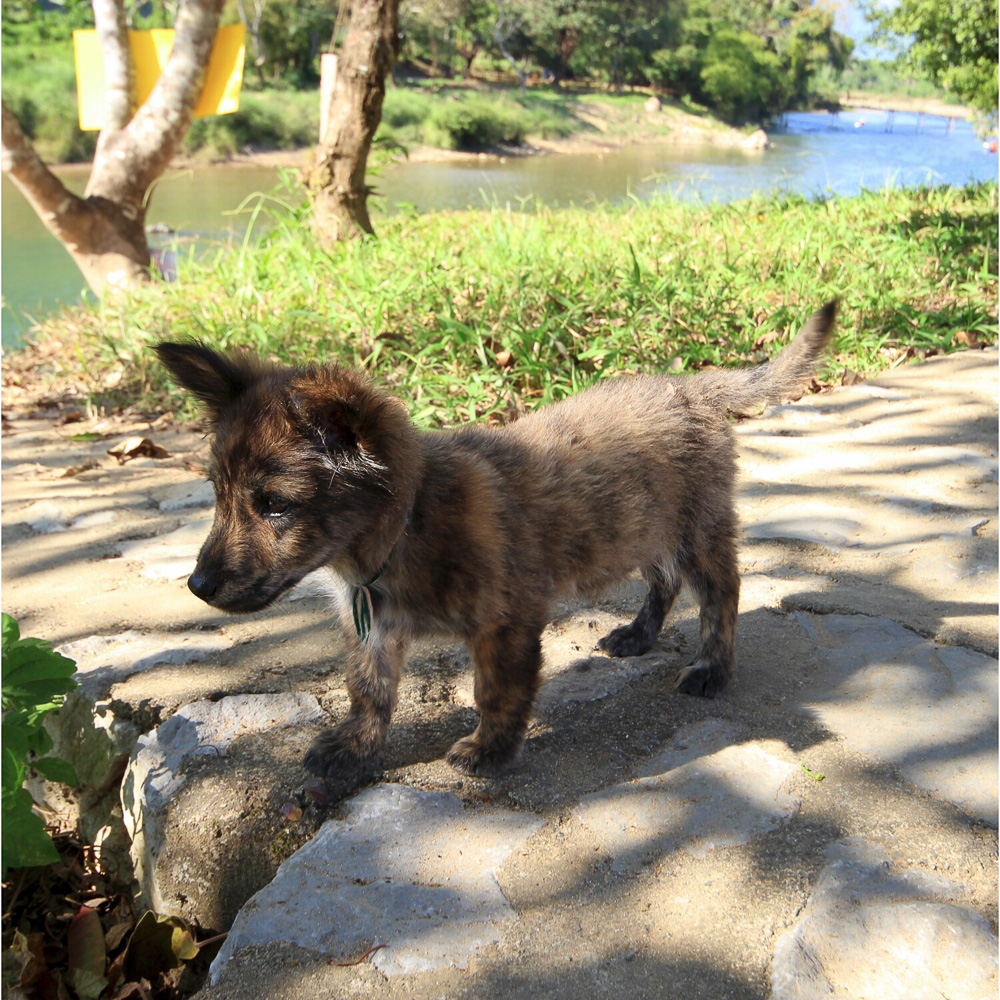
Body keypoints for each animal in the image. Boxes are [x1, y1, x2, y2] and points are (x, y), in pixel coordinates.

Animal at [156, 301, 836, 777]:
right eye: (217, 494)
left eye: (274, 505)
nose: (197, 585)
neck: (405, 527)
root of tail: (690, 385)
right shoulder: (373, 629)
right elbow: (368, 691)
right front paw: (356, 746)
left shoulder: (505, 625)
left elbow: (496, 692)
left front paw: (489, 751)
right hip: (642, 526)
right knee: (662, 580)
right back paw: (637, 635)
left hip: (697, 529)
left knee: (722, 594)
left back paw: (712, 668)